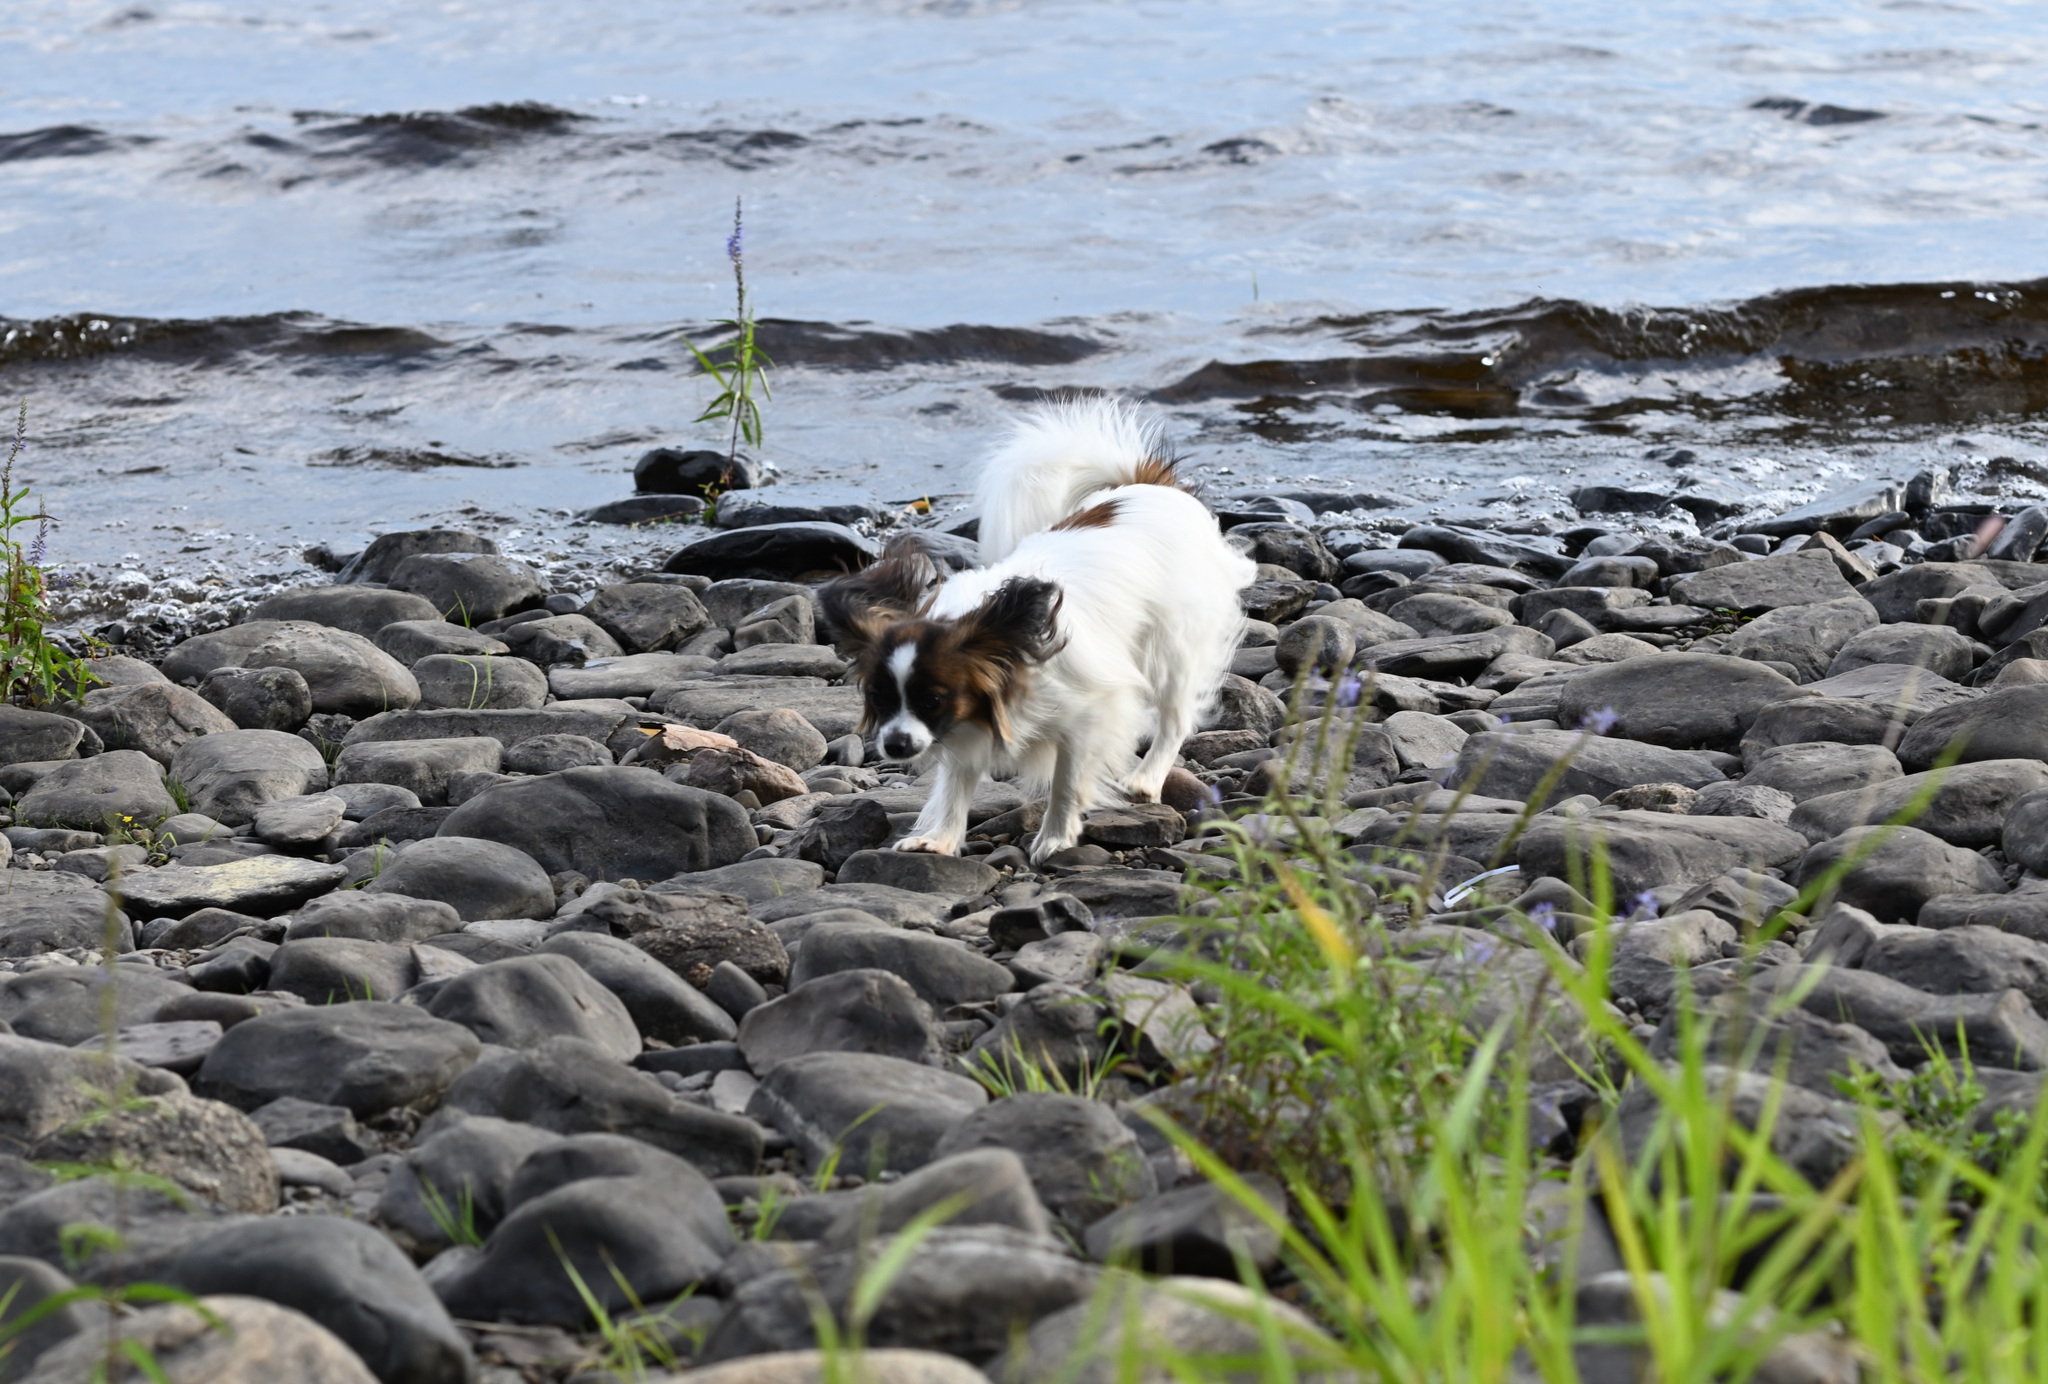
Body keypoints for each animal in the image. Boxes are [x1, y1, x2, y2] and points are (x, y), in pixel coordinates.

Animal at [815, 395, 1245, 859]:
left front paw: (1056, 836)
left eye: (931, 700)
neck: (1012, 653)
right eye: (880, 698)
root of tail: (1150, 487)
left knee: (1174, 719)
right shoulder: (966, 727)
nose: (893, 745)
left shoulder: (1087, 715)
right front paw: (940, 839)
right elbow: (955, 784)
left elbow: (1066, 780)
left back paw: (1146, 778)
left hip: (1171, 650)